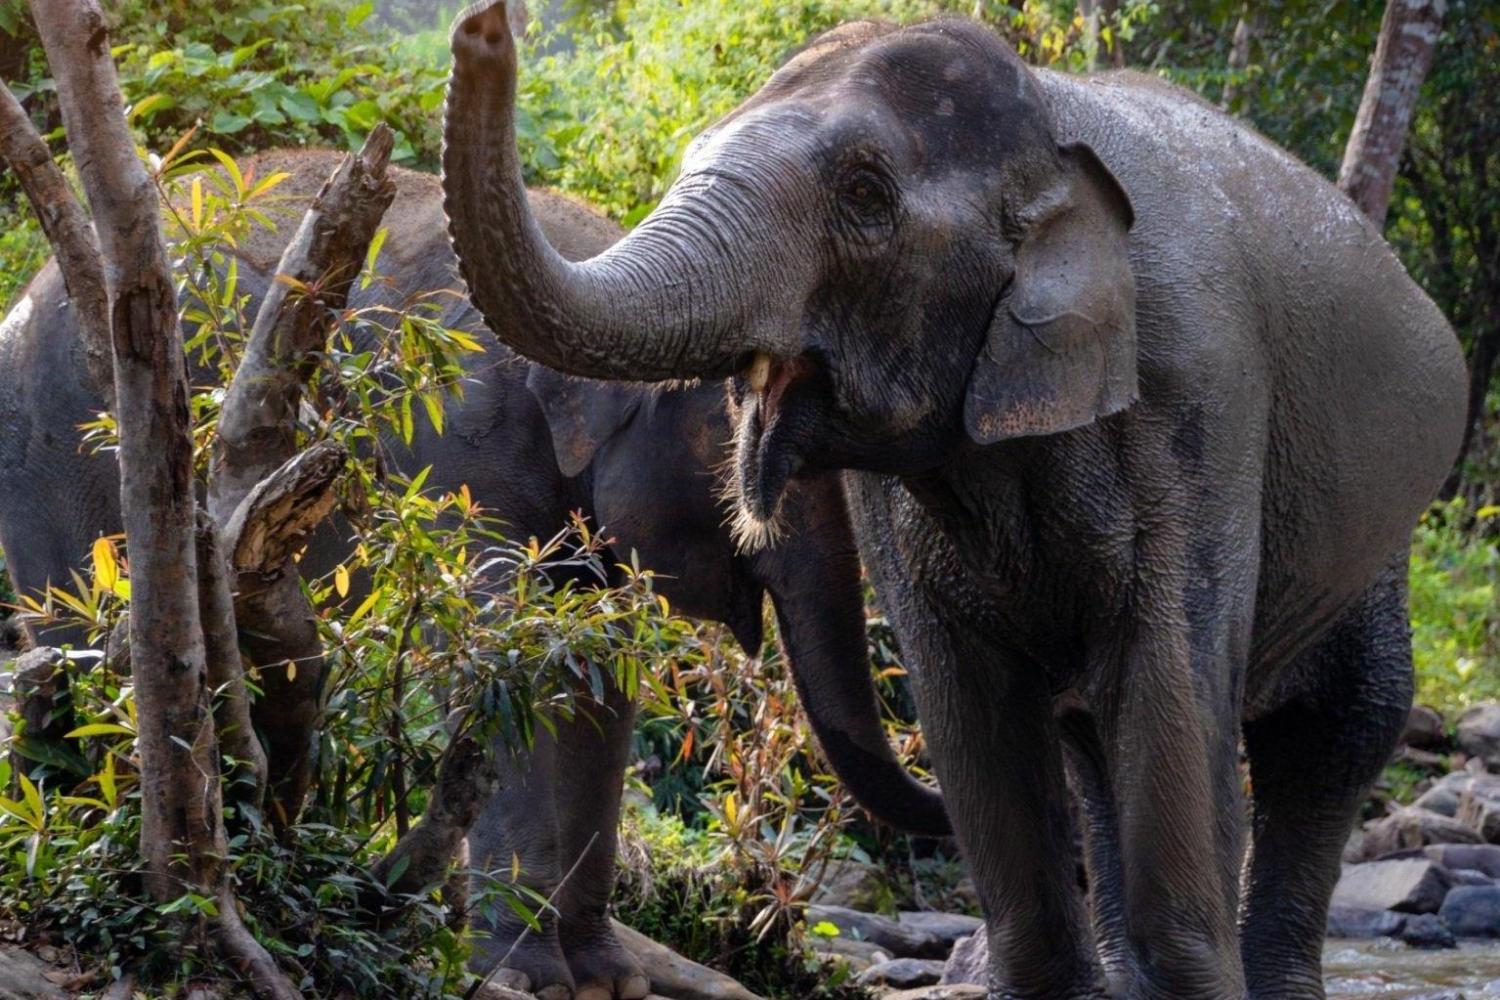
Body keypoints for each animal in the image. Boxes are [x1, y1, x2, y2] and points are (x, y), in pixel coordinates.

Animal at [0, 149, 948, 1000]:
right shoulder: (457, 449)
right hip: (65, 464)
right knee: (82, 642)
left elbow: (595, 682)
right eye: (753, 439)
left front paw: (606, 979)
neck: (610, 268)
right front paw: (528, 978)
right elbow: (504, 662)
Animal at [441, 5, 1470, 998]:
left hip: (1376, 545)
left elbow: (1166, 684)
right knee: (1093, 739)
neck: (1049, 122)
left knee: (1339, 728)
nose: (482, 29)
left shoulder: (1198, 395)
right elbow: (971, 710)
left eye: (865, 194)